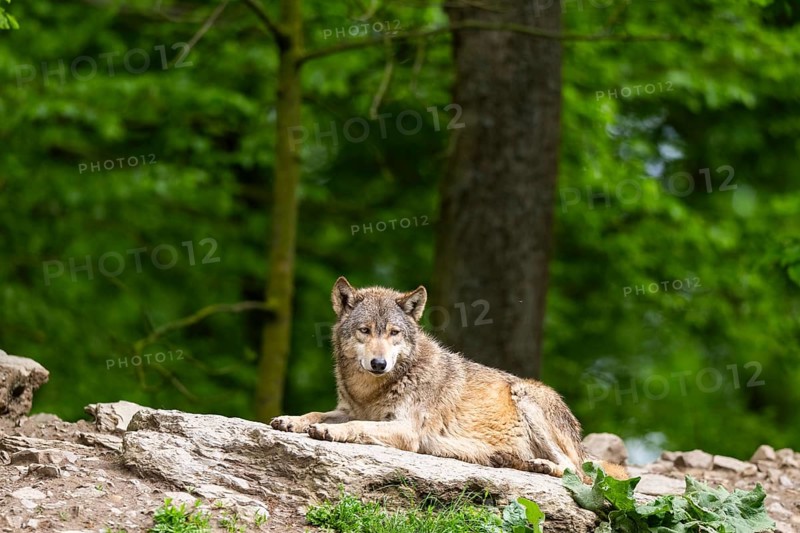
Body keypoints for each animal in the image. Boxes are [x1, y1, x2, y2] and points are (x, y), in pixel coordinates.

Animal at [271, 277, 626, 479]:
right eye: (365, 330)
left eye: (394, 333)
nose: (379, 363)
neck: (373, 390)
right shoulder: (348, 408)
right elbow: (317, 413)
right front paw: (291, 419)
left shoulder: (406, 430)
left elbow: (356, 426)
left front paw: (330, 431)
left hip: (526, 398)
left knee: (575, 471)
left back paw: (542, 466)